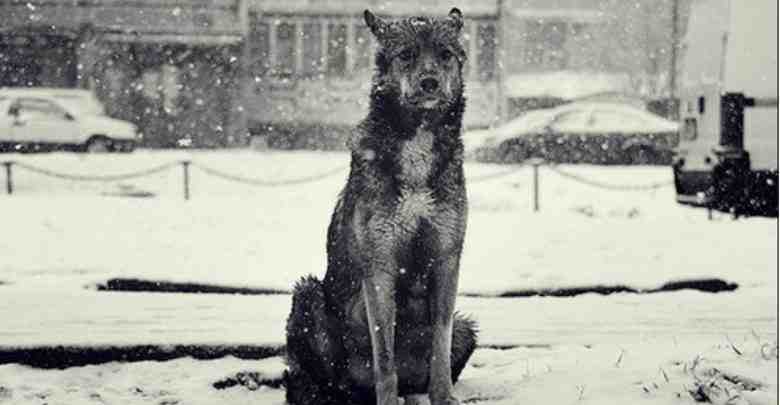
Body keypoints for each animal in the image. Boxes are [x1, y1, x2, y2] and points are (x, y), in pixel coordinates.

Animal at [286, 8, 476, 404]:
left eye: (445, 55)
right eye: (406, 55)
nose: (430, 83)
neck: (418, 140)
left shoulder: (447, 257)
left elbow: (440, 343)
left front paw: (444, 397)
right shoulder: (380, 264)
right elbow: (384, 355)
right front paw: (387, 398)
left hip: (467, 326)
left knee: (419, 376)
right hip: (307, 295)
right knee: (323, 381)